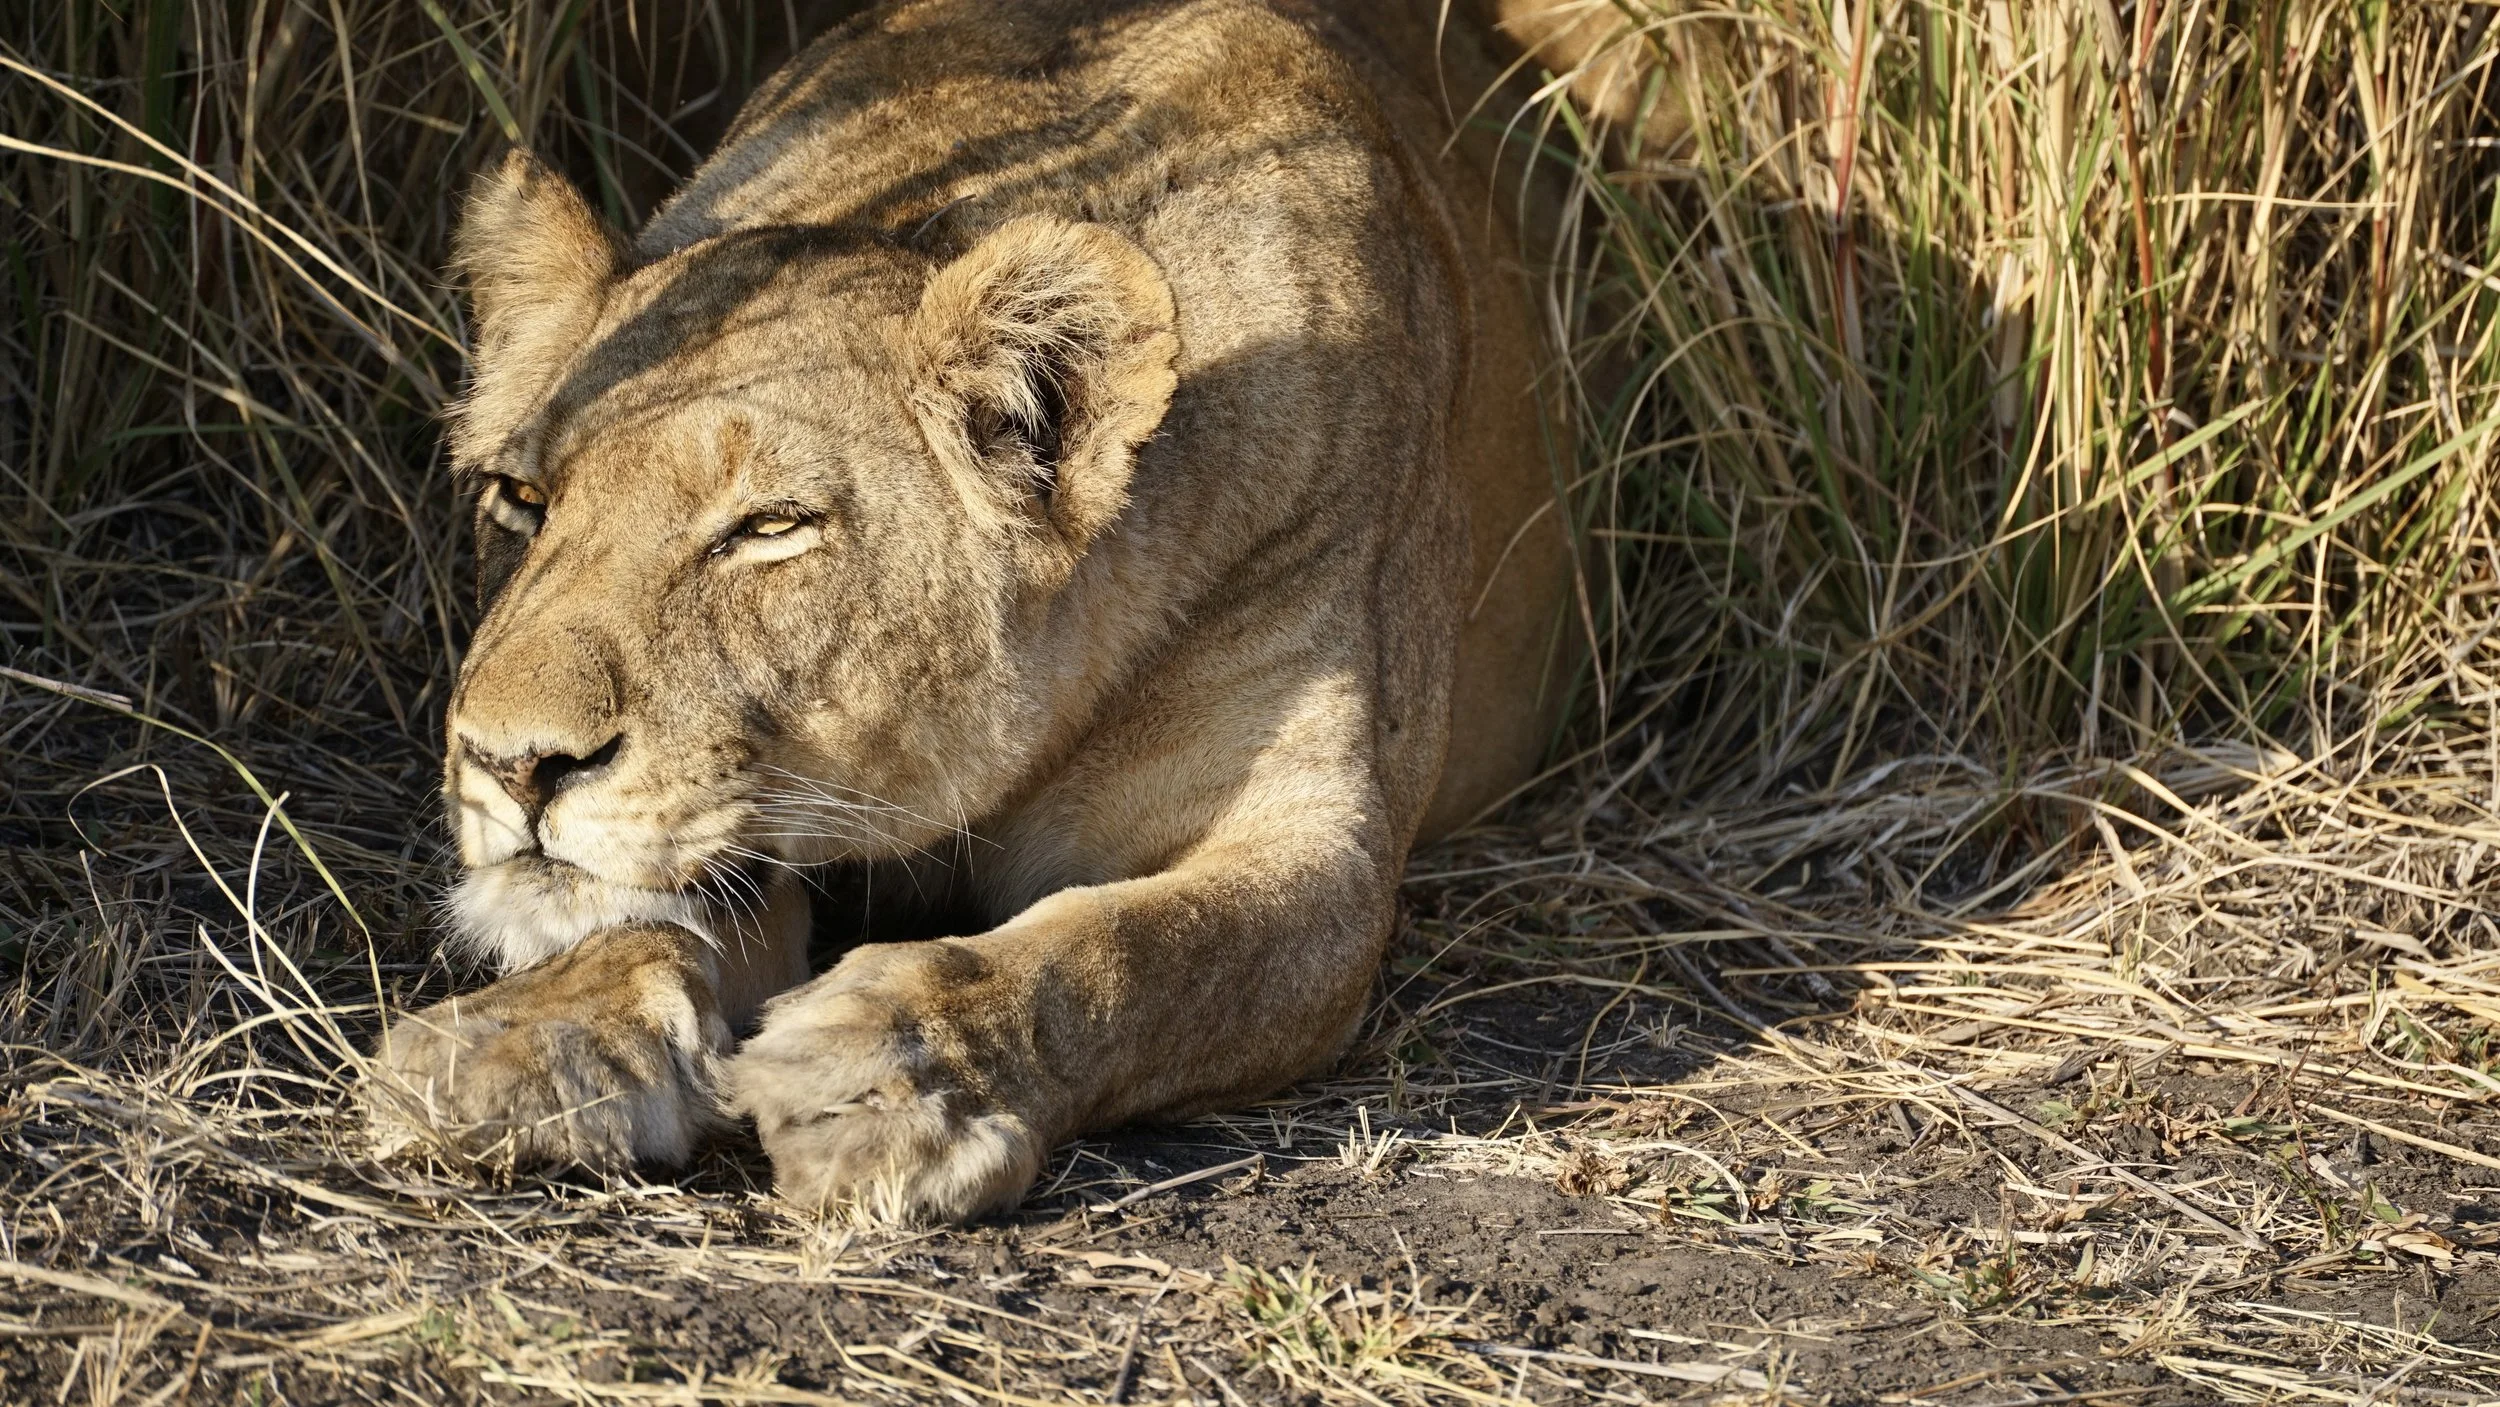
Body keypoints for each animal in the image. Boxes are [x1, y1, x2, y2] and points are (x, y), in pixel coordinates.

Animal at [365, 0, 1583, 1222]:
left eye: (770, 526)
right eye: (523, 500)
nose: (512, 764)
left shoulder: (1320, 856)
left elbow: (1136, 949)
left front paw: (895, 1067)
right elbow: (668, 911)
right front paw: (537, 1032)